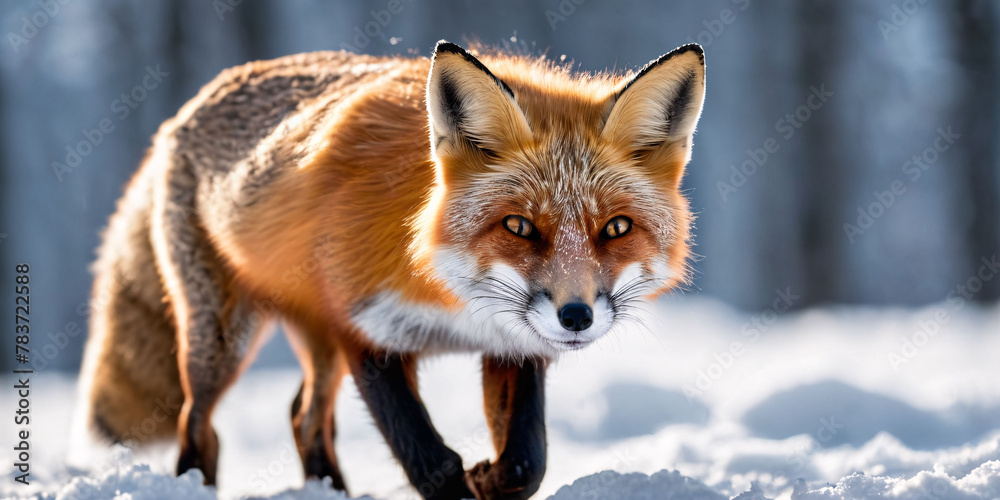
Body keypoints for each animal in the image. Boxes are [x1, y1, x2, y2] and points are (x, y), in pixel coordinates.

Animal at [77, 40, 705, 499]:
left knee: (304, 416)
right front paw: (462, 481)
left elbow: (527, 459)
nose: (576, 316)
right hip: (222, 340)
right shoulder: (364, 330)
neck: (449, 292)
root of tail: (186, 109)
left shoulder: (512, 344)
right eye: (519, 226)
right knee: (198, 423)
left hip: (315, 340)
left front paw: (491, 480)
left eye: (616, 229)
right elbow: (431, 462)